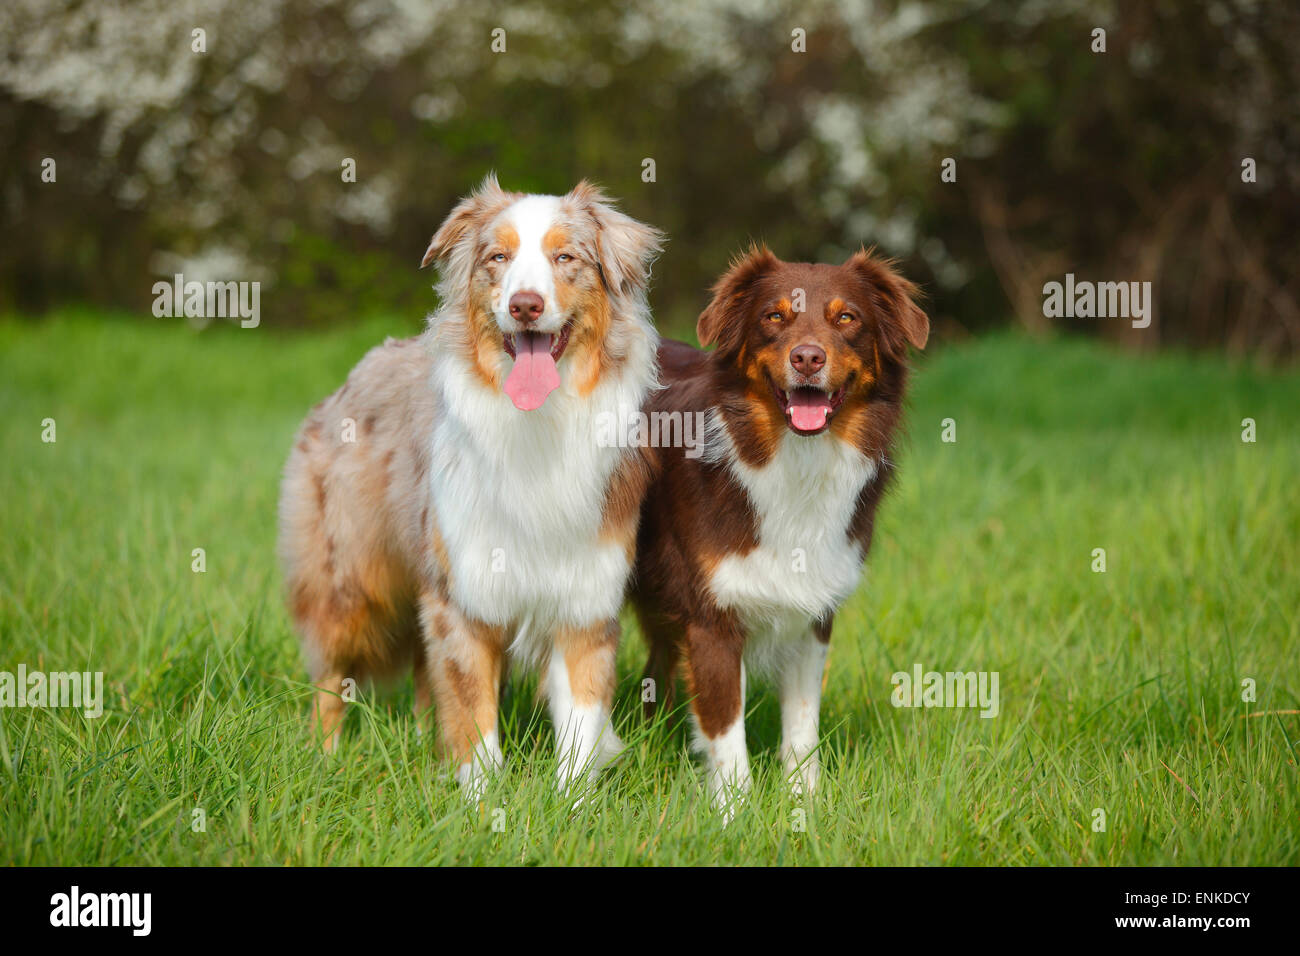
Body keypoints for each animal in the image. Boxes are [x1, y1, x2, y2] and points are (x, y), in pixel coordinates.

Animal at [629, 244, 925, 806]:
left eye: (847, 318)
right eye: (773, 317)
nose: (807, 358)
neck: (795, 460)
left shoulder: (814, 611)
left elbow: (802, 726)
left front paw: (805, 804)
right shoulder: (713, 616)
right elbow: (726, 734)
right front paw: (735, 812)